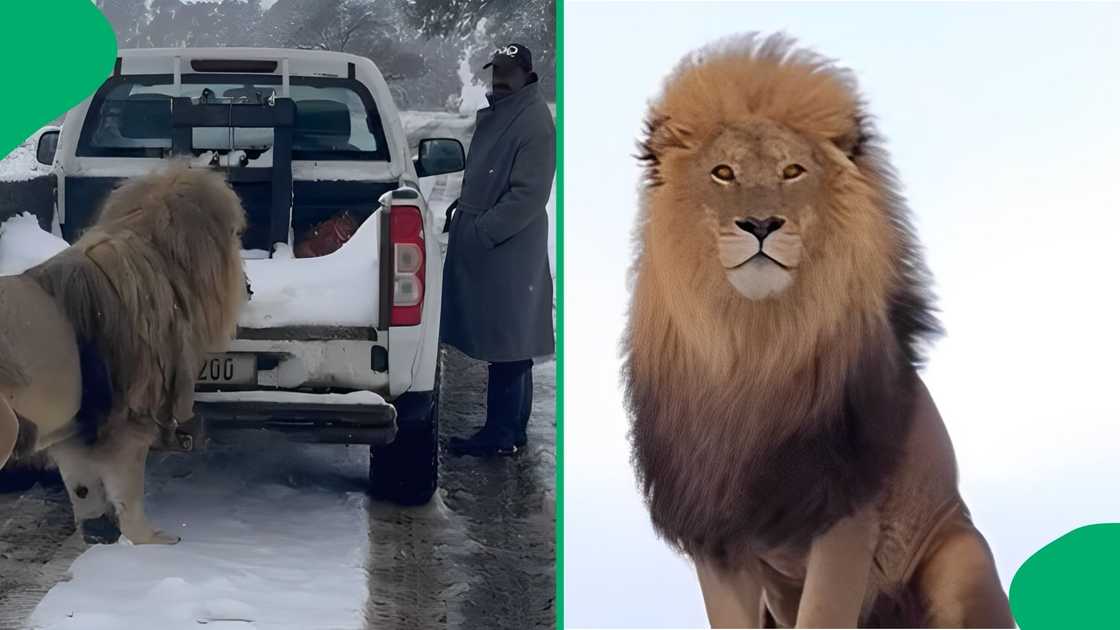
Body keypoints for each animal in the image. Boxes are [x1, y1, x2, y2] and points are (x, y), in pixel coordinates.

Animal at [0, 165, 247, 545]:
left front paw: (98, 535)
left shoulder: (75, 430)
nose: (248, 287)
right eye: (236, 236)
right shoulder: (128, 420)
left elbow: (83, 491)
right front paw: (151, 542)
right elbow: (129, 493)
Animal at [623, 34, 1014, 628]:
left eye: (792, 171)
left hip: (959, 559)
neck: (754, 347)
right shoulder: (716, 531)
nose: (761, 225)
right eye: (723, 173)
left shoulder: (845, 517)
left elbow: (825, 611)